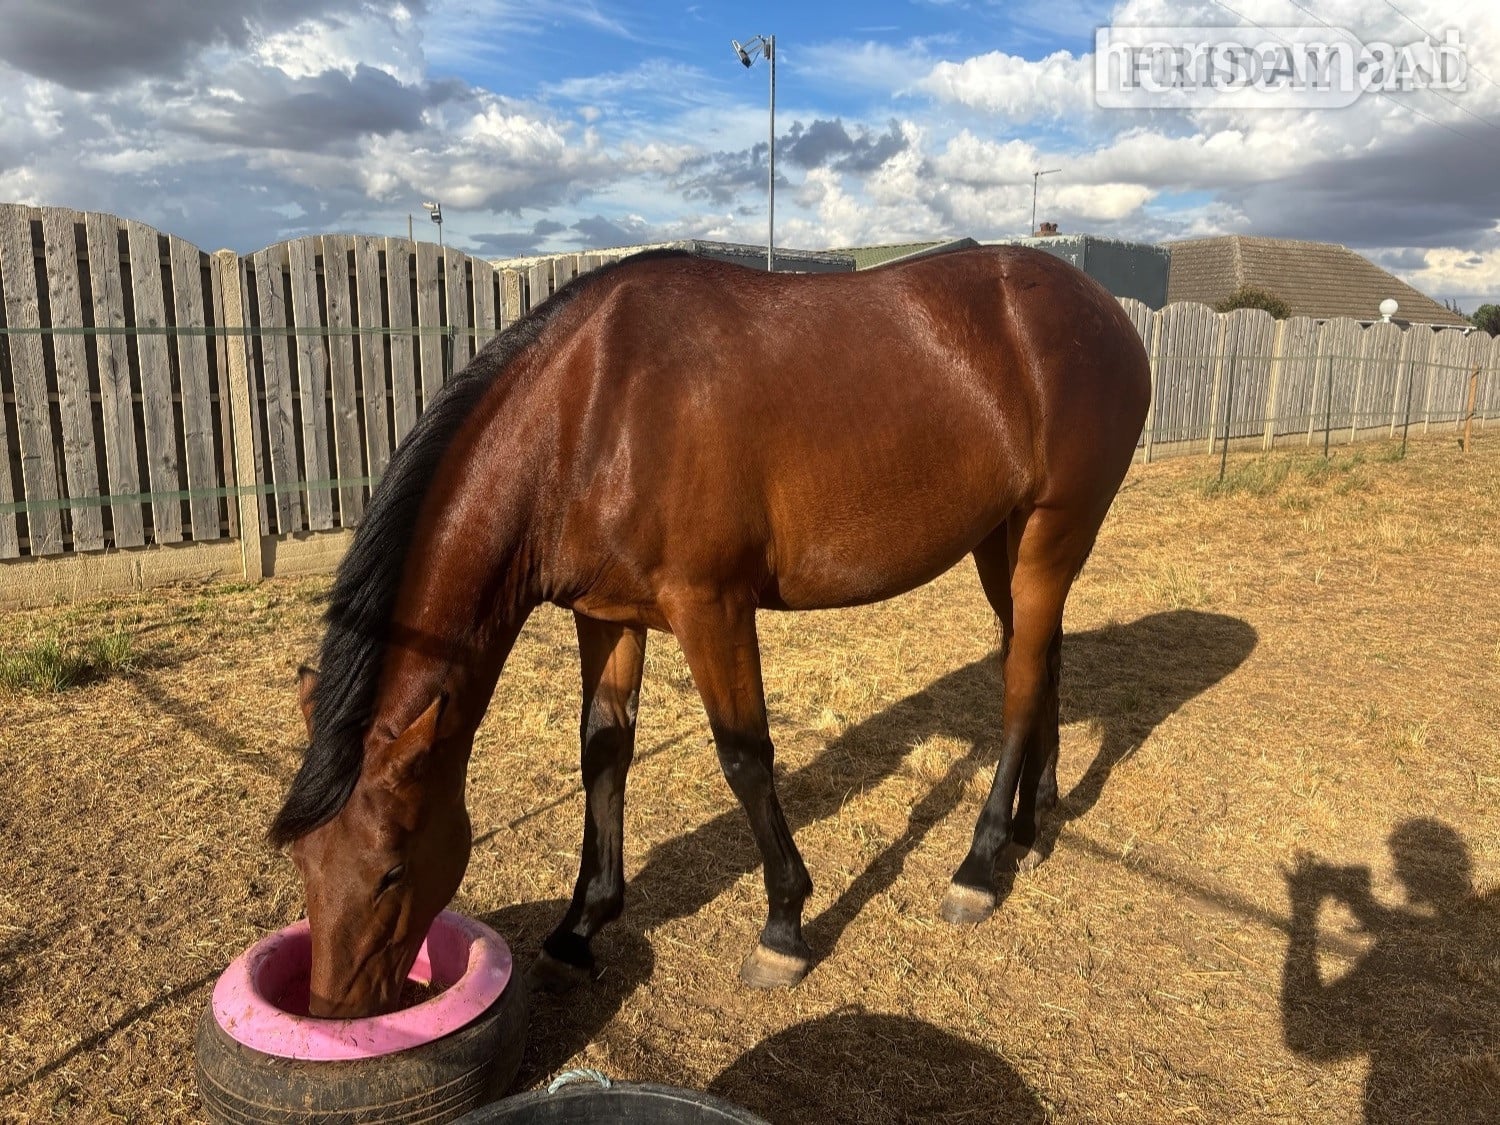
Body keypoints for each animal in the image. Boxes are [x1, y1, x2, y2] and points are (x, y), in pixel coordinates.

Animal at [270, 245, 1151, 1017]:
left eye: (390, 871)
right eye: (304, 862)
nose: (338, 1013)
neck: (591, 411)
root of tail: (1104, 309)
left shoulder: (711, 608)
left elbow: (744, 756)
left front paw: (784, 926)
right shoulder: (607, 617)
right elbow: (604, 750)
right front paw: (580, 926)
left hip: (1052, 534)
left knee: (1021, 682)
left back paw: (980, 861)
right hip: (1001, 542)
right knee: (1041, 660)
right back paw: (1031, 825)